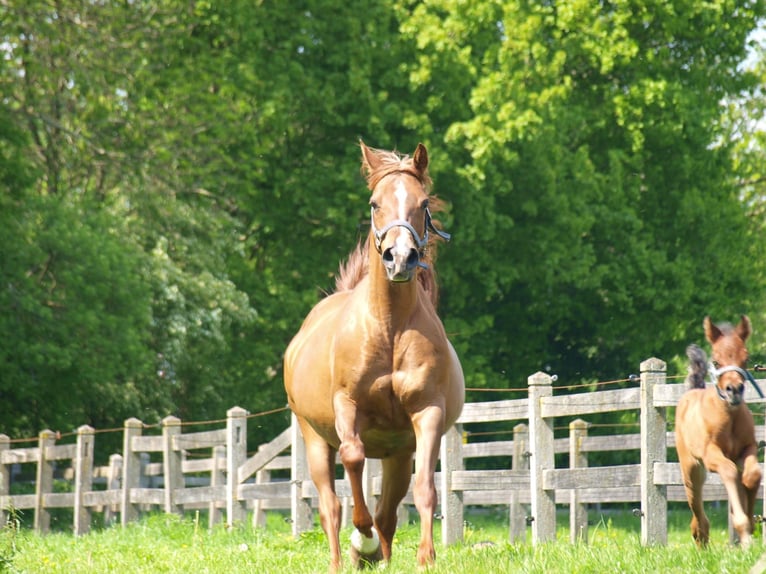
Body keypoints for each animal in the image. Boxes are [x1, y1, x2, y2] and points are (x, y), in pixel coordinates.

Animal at [284, 143, 468, 572]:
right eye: (374, 203)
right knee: (330, 507)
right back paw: (347, 555)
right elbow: (352, 459)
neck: (389, 328)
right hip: (314, 438)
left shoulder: (427, 413)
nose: (399, 258)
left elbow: (424, 489)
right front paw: (362, 542)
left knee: (387, 510)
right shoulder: (346, 405)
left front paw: (425, 557)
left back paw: (379, 556)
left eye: (422, 203)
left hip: (396, 453)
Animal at [680, 318, 760, 548]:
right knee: (697, 510)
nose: (734, 390)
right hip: (692, 469)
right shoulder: (711, 454)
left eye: (746, 358)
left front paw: (750, 526)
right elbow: (729, 471)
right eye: (715, 361)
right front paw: (744, 532)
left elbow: (753, 475)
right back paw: (701, 540)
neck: (729, 416)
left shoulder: (748, 448)